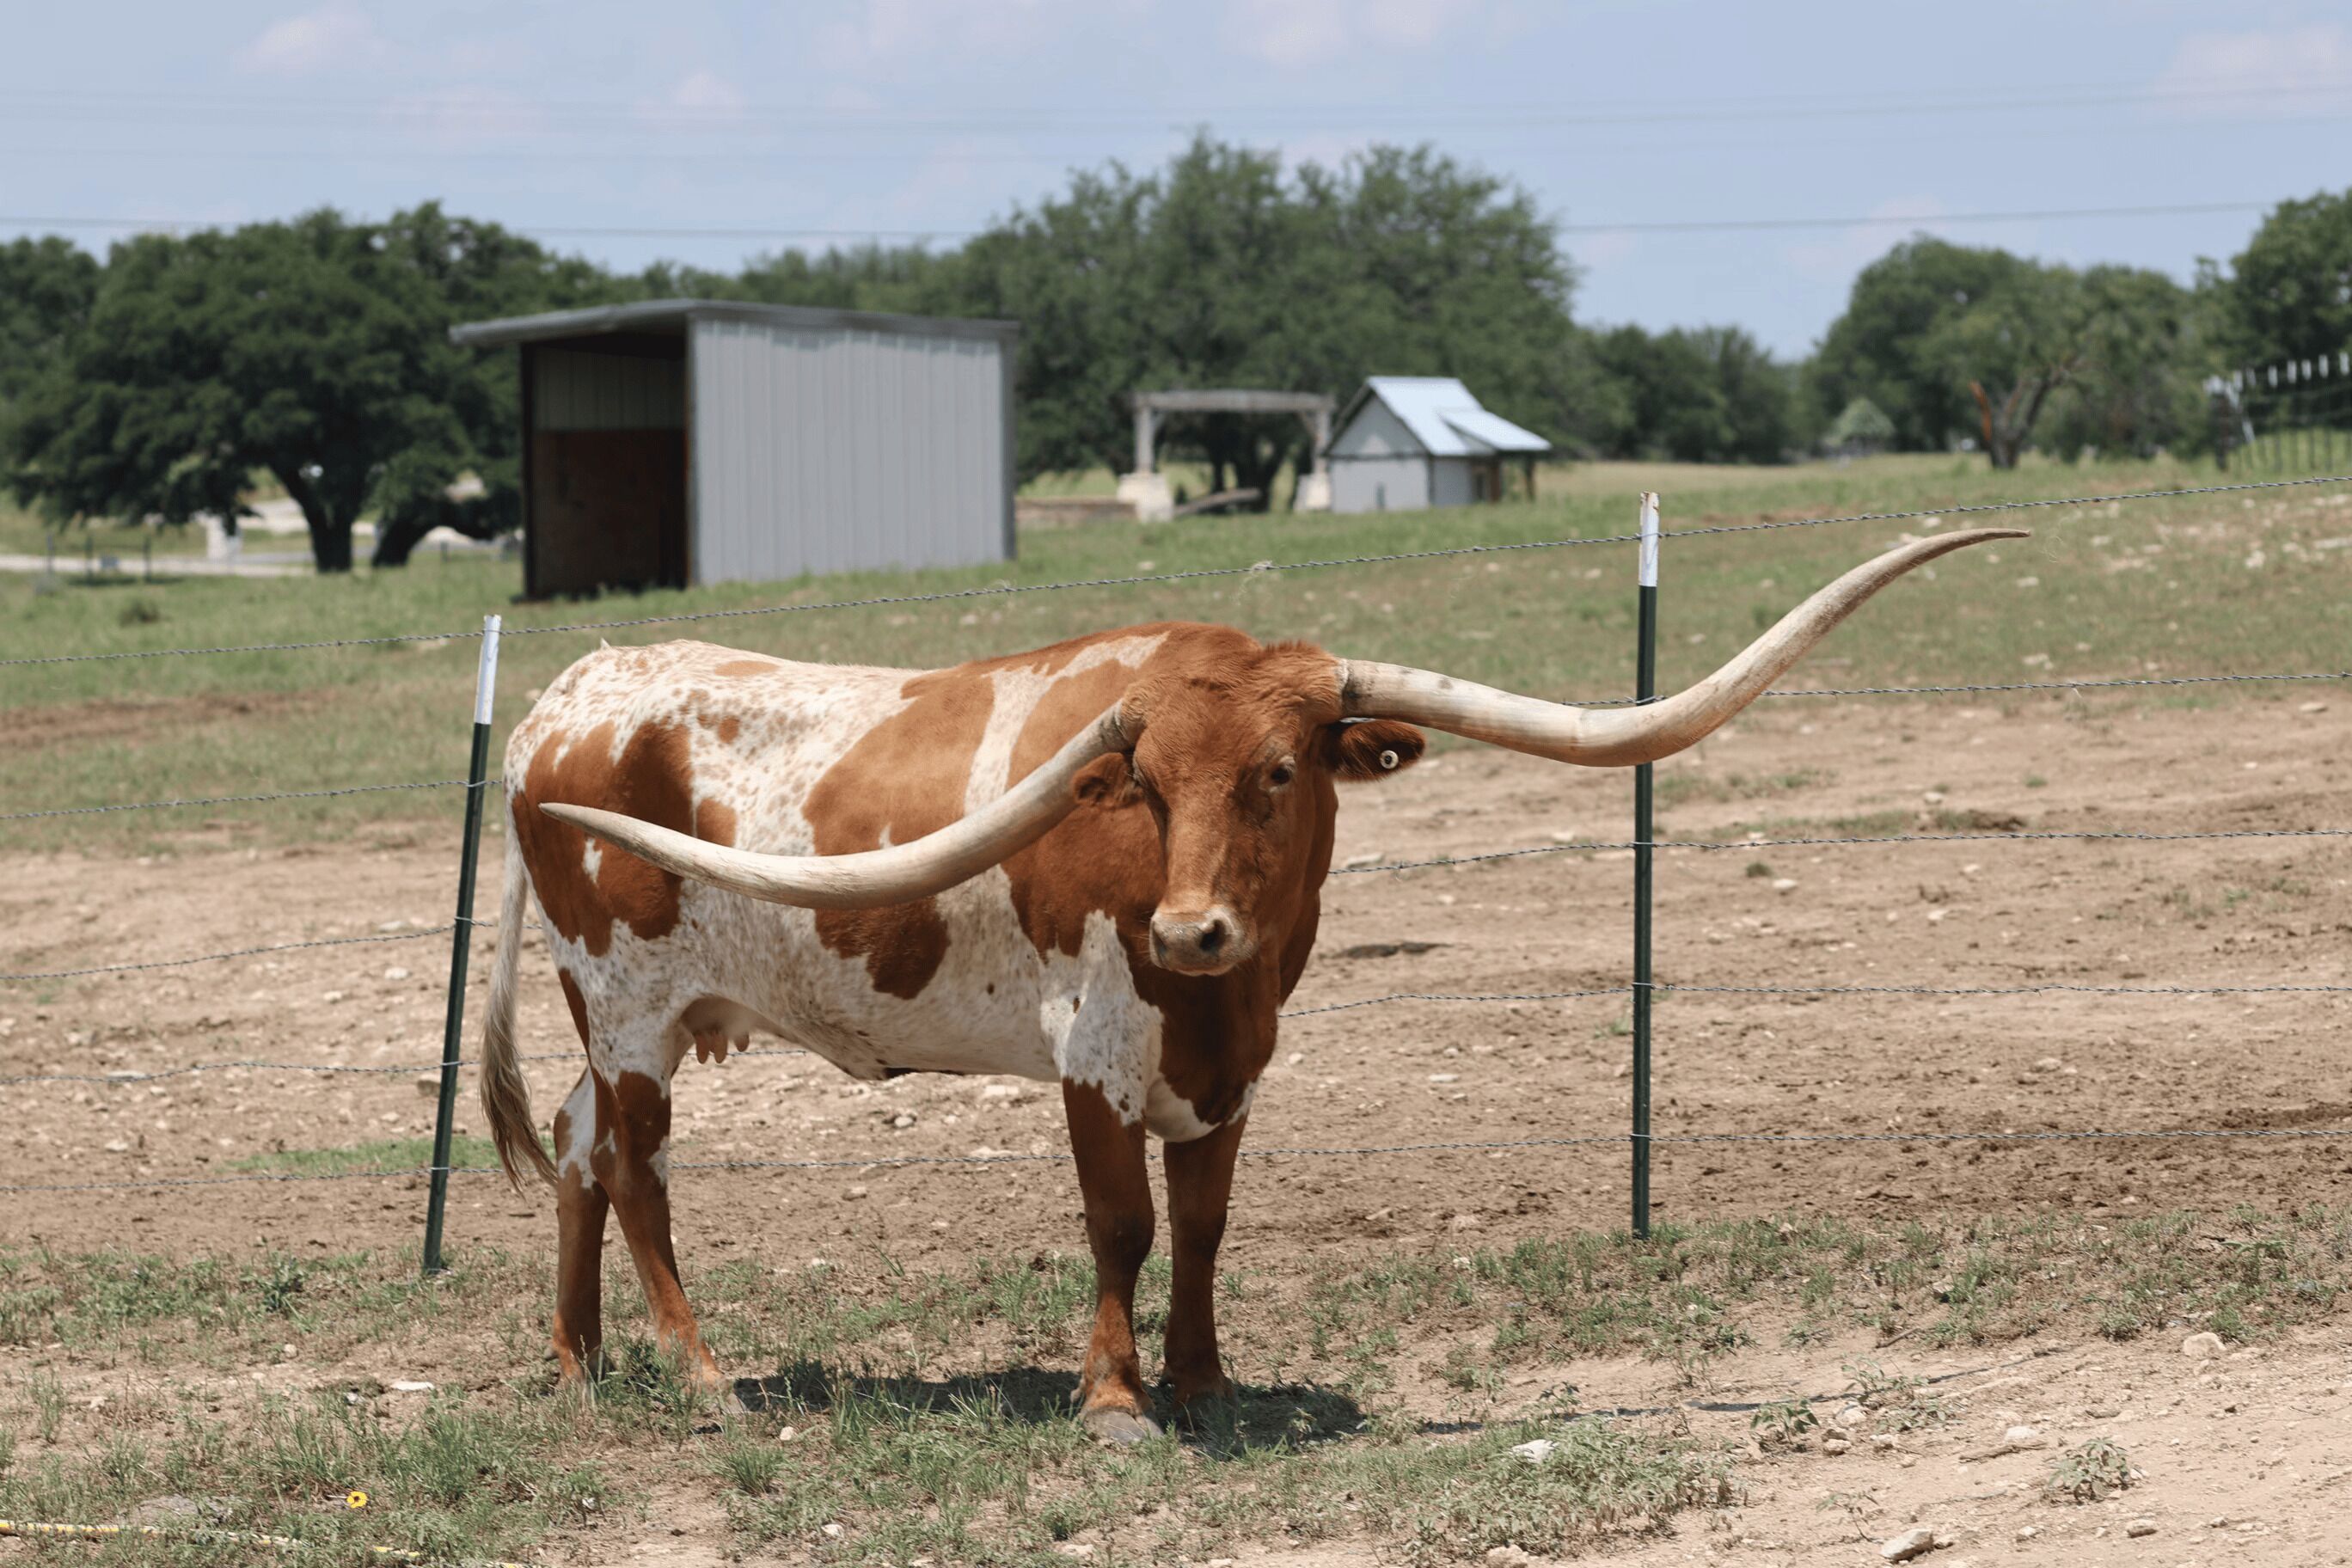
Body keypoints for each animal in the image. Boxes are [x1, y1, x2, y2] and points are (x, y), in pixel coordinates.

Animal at [478, 527, 2018, 1442]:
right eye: (1146, 787)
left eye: (1280, 771)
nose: (1193, 932)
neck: (1225, 992)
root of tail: (564, 702)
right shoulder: (1097, 1049)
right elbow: (1121, 1224)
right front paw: (1115, 1401)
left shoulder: (1232, 1065)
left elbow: (1207, 1226)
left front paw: (1208, 1380)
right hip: (628, 1009)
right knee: (635, 1173)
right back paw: (699, 1376)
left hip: (629, 1022)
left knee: (573, 1148)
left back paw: (577, 1365)